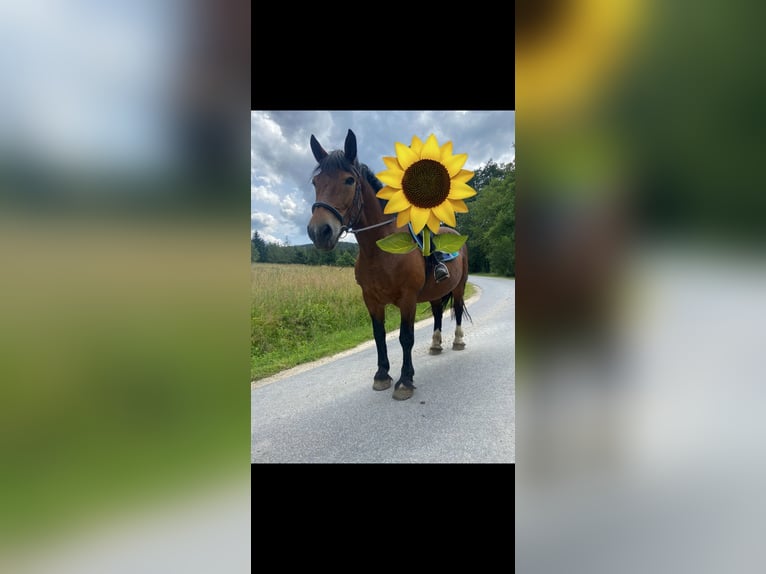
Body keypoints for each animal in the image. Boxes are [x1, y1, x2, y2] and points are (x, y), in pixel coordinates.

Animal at [308, 129, 472, 400]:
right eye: (315, 183)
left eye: (349, 180)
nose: (319, 232)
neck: (380, 251)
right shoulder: (371, 300)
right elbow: (379, 336)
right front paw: (382, 375)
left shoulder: (407, 298)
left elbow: (406, 337)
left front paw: (405, 380)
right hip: (435, 292)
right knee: (438, 312)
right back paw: (436, 344)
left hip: (459, 286)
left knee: (457, 310)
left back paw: (458, 342)